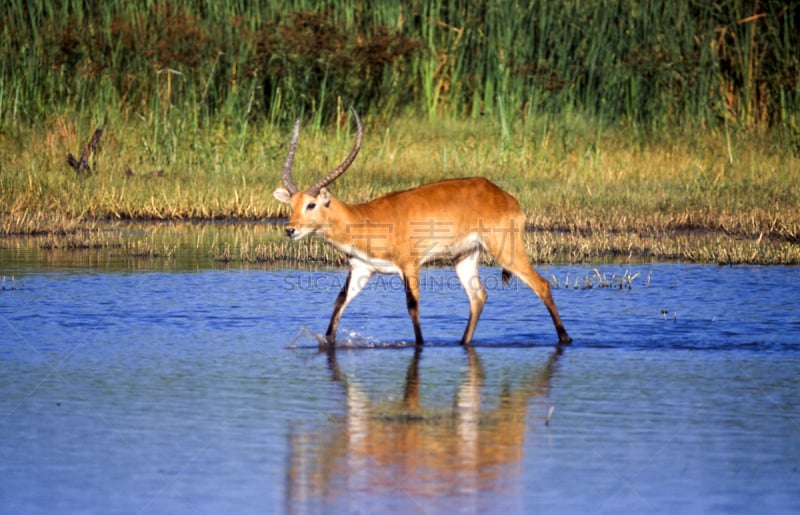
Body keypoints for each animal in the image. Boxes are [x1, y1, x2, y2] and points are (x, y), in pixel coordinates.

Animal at [272, 108, 572, 346]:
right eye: (292, 204)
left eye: (311, 204)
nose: (290, 229)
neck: (364, 218)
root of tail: (505, 197)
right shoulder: (361, 269)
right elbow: (338, 303)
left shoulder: (410, 266)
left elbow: (413, 307)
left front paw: (421, 345)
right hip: (464, 256)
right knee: (478, 296)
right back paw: (462, 342)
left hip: (505, 250)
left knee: (542, 284)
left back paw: (565, 338)